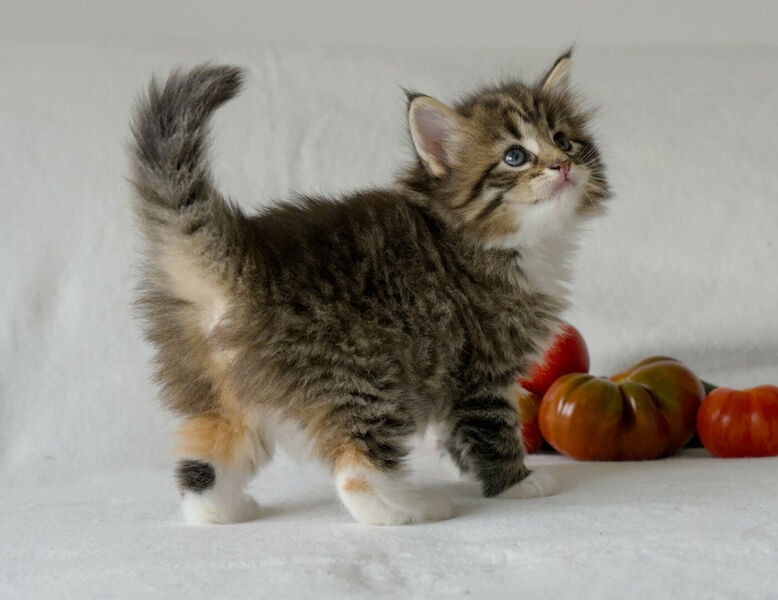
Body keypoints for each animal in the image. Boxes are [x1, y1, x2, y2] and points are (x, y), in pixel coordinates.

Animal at [129, 50, 608, 524]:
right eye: (514, 156)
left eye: (564, 140)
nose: (563, 164)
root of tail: (245, 260)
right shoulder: (481, 371)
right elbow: (493, 430)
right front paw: (517, 482)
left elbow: (457, 434)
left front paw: (470, 471)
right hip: (361, 376)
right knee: (355, 470)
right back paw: (410, 508)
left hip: (219, 392)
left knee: (205, 462)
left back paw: (222, 510)